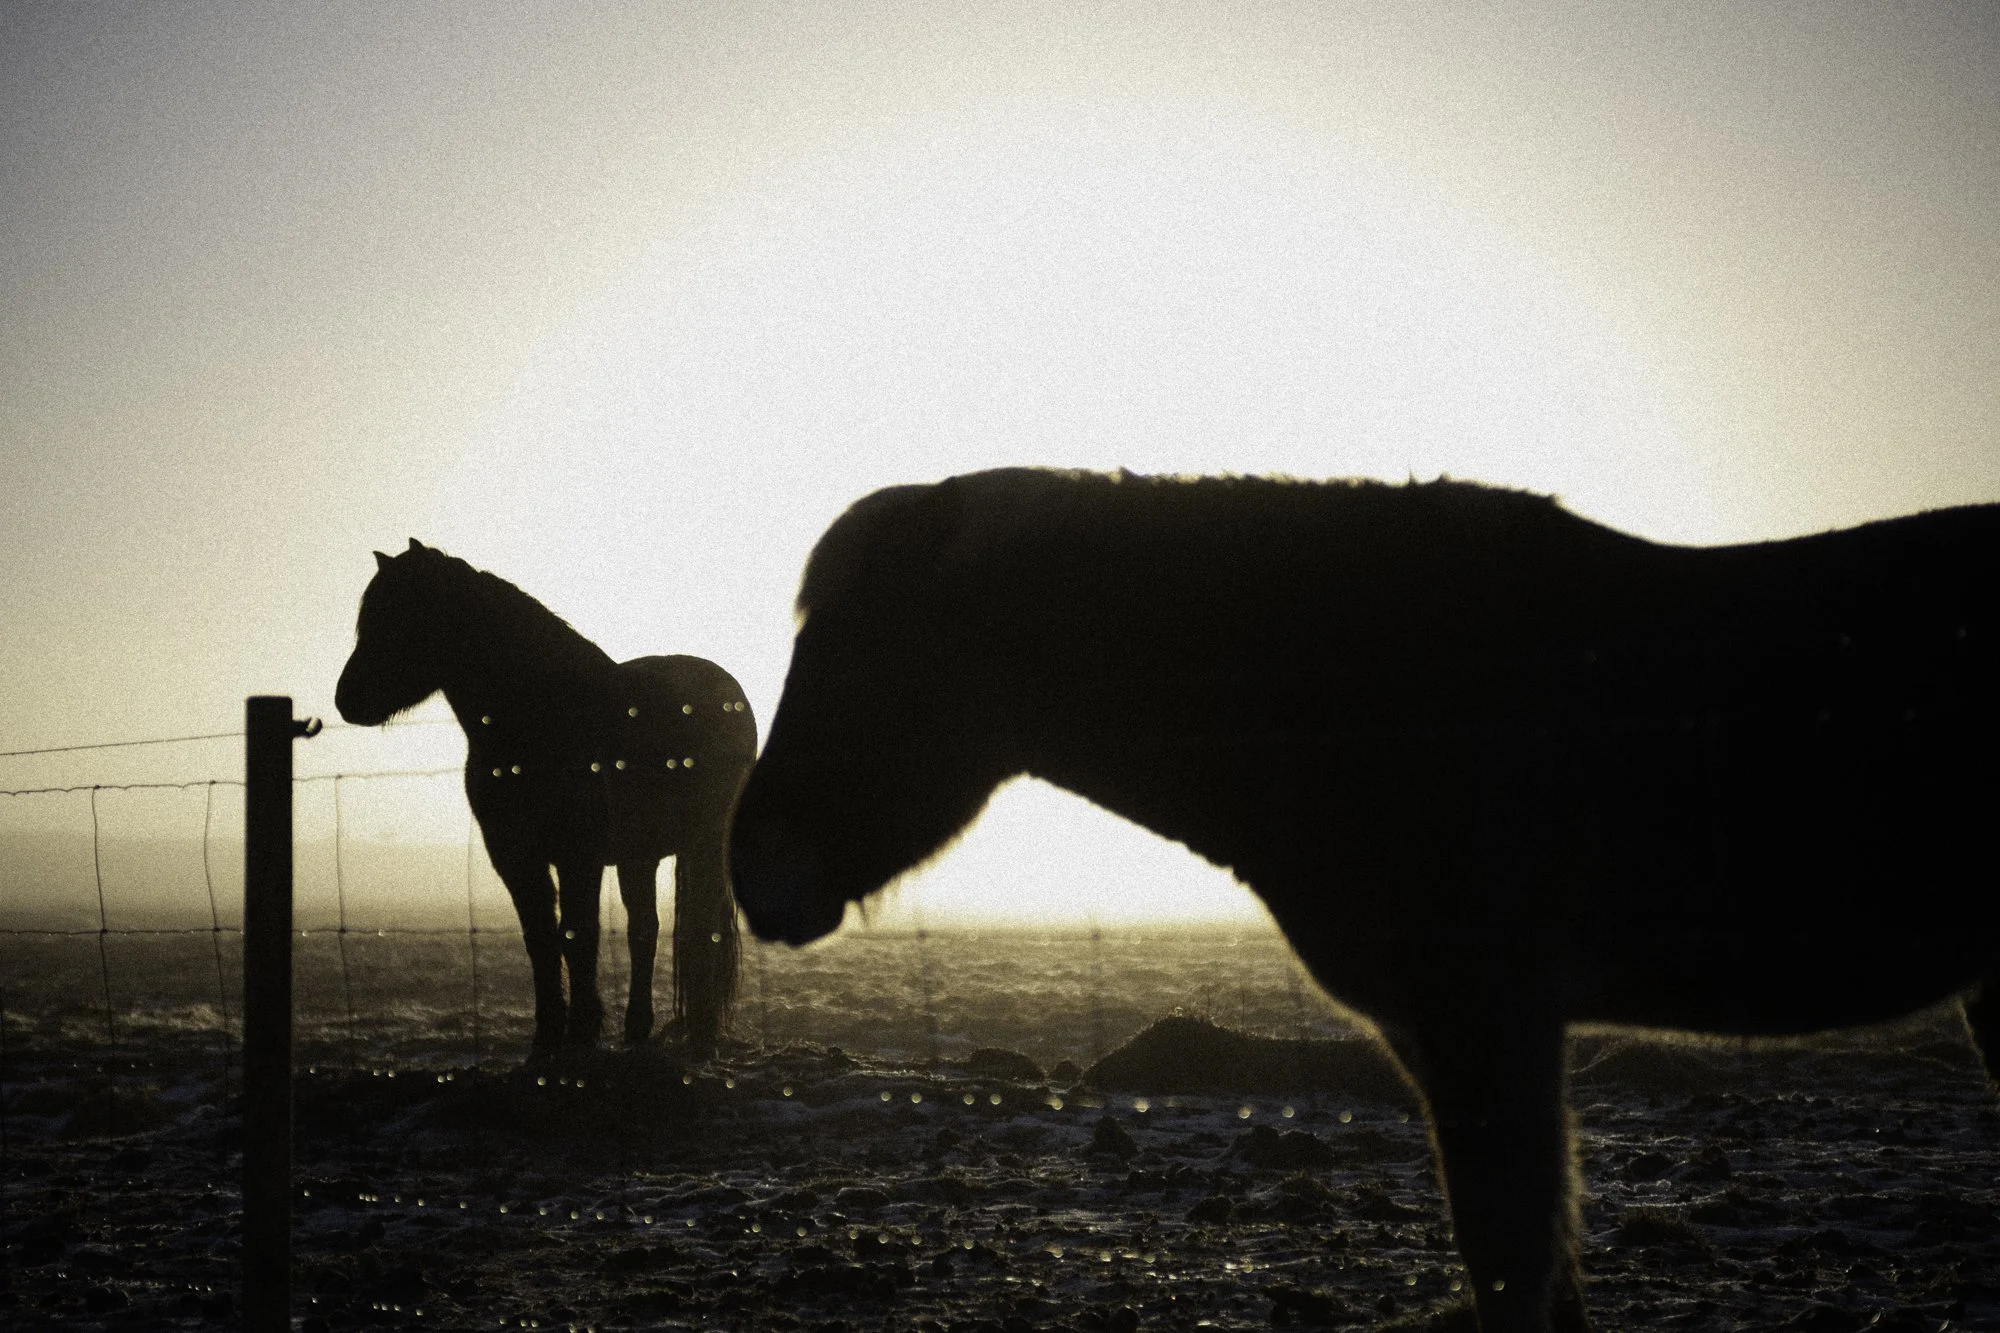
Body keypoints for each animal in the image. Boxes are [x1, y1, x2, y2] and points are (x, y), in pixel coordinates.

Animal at [335, 539, 756, 1059]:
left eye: (405, 616)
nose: (347, 700)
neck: (542, 717)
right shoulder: (517, 859)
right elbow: (541, 941)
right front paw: (546, 1040)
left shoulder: (579, 857)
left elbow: (578, 937)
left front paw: (580, 1036)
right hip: (640, 856)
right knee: (645, 929)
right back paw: (638, 1030)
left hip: (703, 847)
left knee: (701, 932)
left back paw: (700, 1033)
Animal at [729, 468, 2000, 1333]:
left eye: (862, 656)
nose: (749, 868)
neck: (1367, 699)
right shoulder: (1441, 1035)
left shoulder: (1486, 1021)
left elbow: (1510, 1263)